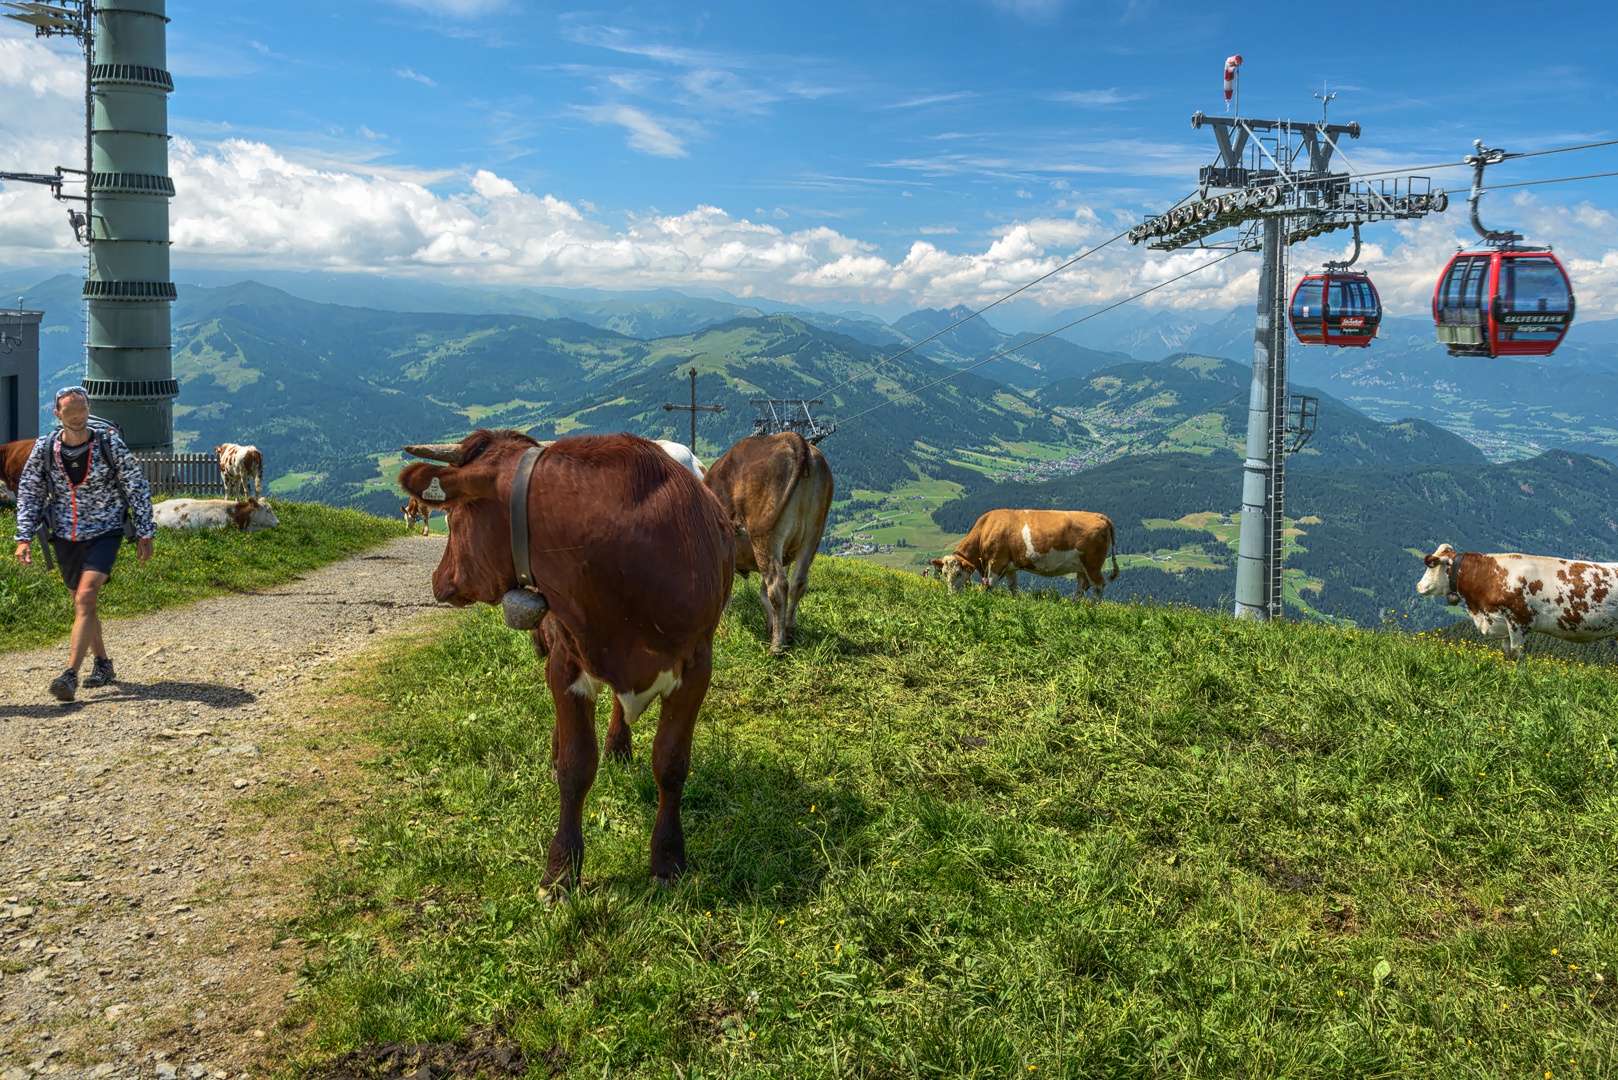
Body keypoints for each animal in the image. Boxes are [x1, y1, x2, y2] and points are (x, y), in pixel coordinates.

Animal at [398, 430, 734, 893]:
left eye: (454, 517)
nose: (438, 581)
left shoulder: (697, 668)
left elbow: (671, 765)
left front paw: (667, 862)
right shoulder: (566, 663)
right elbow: (576, 768)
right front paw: (560, 872)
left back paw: (618, 746)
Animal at [705, 433, 834, 654]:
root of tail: (792, 438)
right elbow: (762, 594)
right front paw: (771, 626)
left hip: (766, 537)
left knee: (777, 584)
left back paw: (777, 646)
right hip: (813, 535)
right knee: (797, 583)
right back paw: (789, 631)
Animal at [931, 508, 1119, 599]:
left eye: (958, 573)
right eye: (944, 573)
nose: (951, 595)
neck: (986, 529)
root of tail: (1100, 516)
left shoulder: (996, 561)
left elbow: (989, 585)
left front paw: (985, 602)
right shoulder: (1010, 565)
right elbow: (1013, 586)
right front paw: (1017, 603)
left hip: (1092, 564)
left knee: (1098, 586)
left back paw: (1093, 609)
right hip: (1081, 567)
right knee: (1081, 588)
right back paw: (1073, 606)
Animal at [1417, 544, 1618, 654]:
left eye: (1431, 565)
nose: (1418, 586)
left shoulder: (1520, 622)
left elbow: (1516, 656)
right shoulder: (1504, 624)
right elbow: (1506, 654)